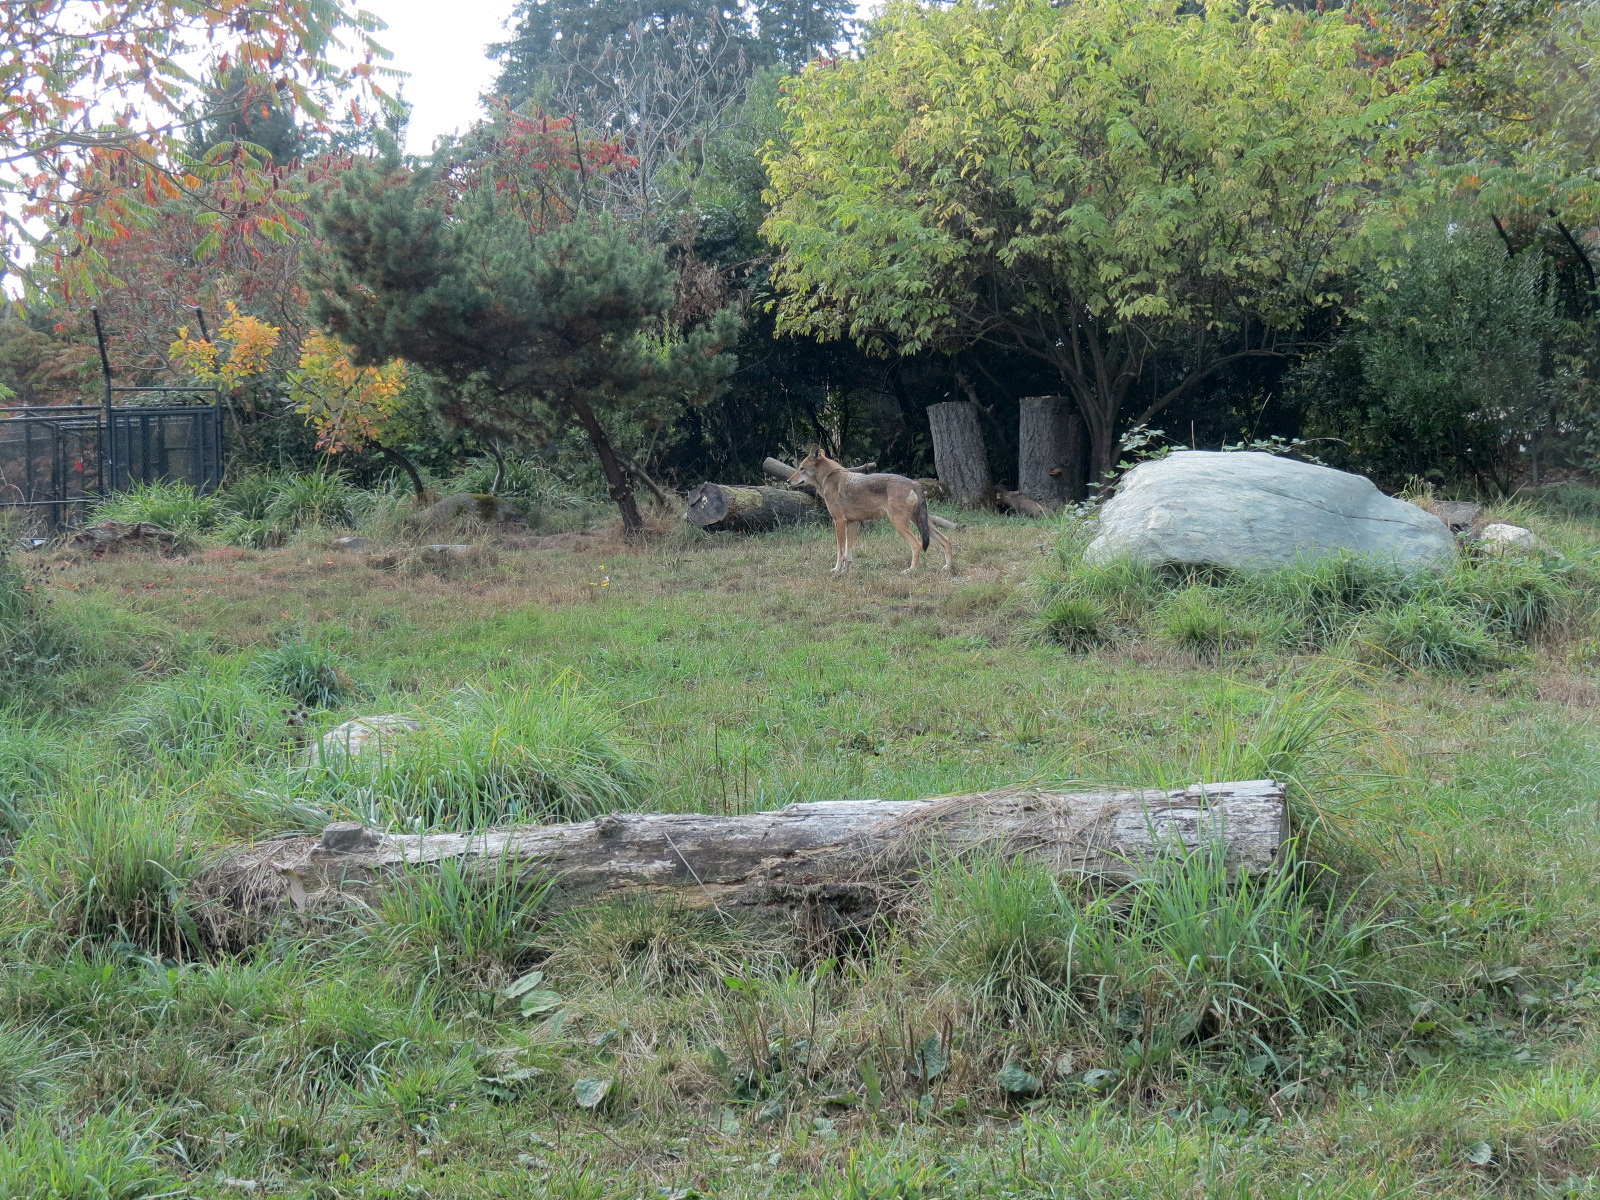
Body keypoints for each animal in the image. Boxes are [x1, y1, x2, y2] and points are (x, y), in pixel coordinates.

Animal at [788, 449, 955, 573]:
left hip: (900, 524)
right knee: (946, 541)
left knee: (917, 545)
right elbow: (848, 553)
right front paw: (846, 571)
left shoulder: (839, 521)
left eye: (801, 468)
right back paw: (947, 568)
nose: (788, 481)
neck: (829, 477)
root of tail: (915, 484)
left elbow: (840, 550)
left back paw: (910, 570)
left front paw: (837, 570)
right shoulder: (851, 523)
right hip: (922, 523)